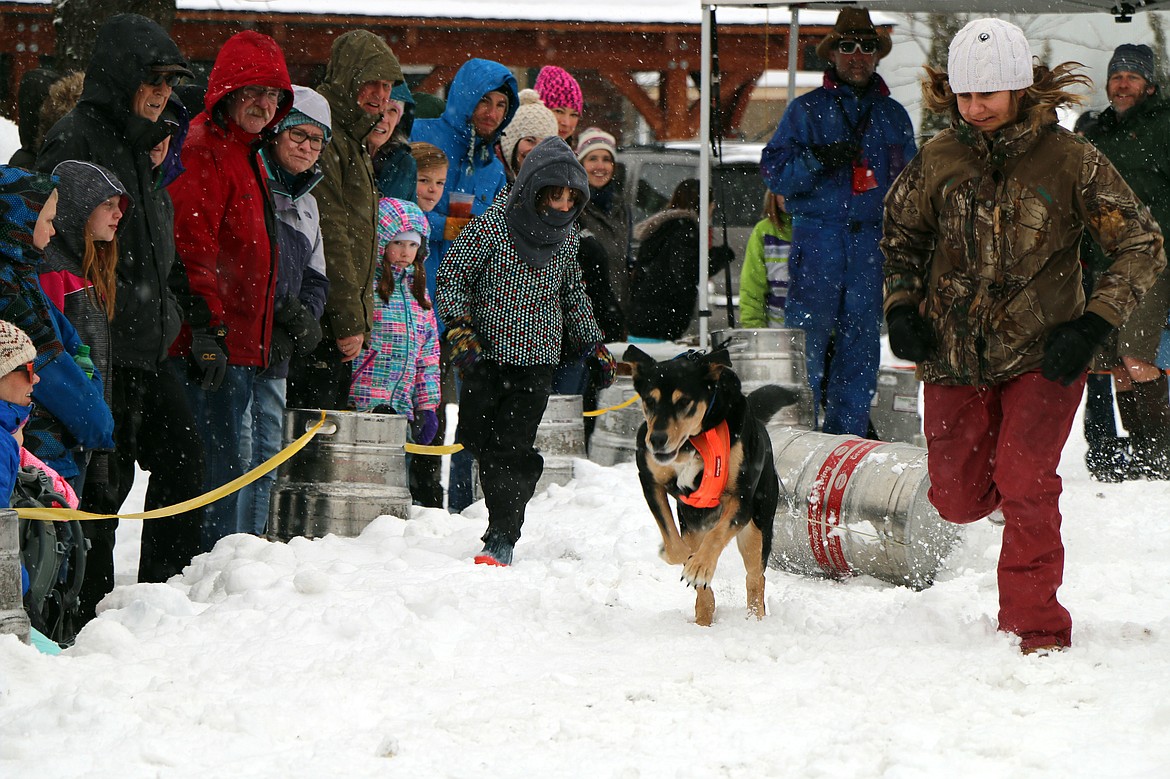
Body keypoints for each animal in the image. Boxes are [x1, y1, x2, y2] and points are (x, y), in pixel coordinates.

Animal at [627, 346, 800, 626]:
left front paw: (699, 567)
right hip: (693, 522)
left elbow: (716, 536)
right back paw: (703, 615)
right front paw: (685, 561)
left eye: (683, 402)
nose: (657, 440)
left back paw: (754, 619)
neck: (692, 441)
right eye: (649, 401)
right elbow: (676, 547)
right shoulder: (650, 481)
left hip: (757, 526)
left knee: (755, 577)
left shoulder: (741, 499)